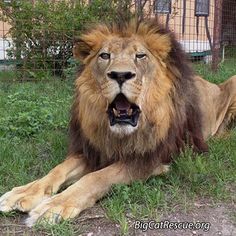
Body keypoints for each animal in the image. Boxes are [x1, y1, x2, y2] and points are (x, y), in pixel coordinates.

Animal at [0, 20, 236, 227]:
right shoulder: (93, 151)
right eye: (105, 55)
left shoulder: (150, 158)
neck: (118, 134)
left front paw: (55, 206)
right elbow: (58, 169)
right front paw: (23, 193)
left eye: (140, 56)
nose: (120, 75)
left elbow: (97, 177)